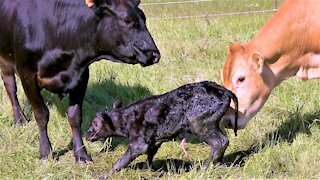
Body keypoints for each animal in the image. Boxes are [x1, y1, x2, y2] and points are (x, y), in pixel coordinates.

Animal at [0, 0, 160, 162]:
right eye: (127, 21)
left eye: (144, 19)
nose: (154, 54)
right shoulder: (27, 74)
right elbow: (41, 113)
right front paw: (45, 152)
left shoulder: (81, 76)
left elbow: (75, 116)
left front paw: (81, 154)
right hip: (5, 61)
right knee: (11, 88)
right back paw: (19, 119)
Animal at [85, 81, 238, 176]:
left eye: (95, 123)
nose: (86, 135)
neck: (126, 119)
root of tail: (224, 91)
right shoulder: (155, 141)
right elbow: (150, 157)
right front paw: (150, 171)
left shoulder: (138, 144)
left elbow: (121, 161)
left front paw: (105, 175)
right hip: (210, 124)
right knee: (222, 142)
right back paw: (217, 164)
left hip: (200, 125)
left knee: (220, 142)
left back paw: (204, 167)